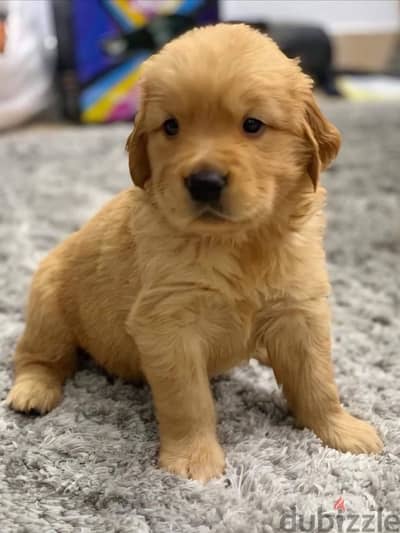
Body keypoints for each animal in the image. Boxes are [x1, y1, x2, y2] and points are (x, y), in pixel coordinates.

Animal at [5, 22, 382, 480]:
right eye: (171, 127)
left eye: (252, 124)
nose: (204, 182)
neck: (239, 243)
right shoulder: (169, 324)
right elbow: (189, 400)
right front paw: (193, 460)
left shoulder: (299, 310)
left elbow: (317, 381)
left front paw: (340, 430)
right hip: (49, 307)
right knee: (38, 356)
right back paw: (33, 391)